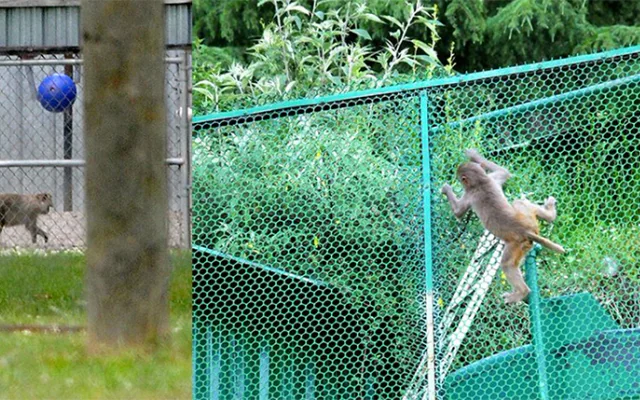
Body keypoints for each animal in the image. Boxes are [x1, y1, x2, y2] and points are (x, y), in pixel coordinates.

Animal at [441, 150, 565, 304]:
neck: (480, 182)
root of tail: (527, 230)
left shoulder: (470, 194)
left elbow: (458, 212)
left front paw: (446, 189)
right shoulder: (492, 179)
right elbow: (504, 172)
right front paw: (474, 155)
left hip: (516, 244)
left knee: (506, 264)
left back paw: (521, 293)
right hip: (527, 219)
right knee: (519, 202)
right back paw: (550, 214)